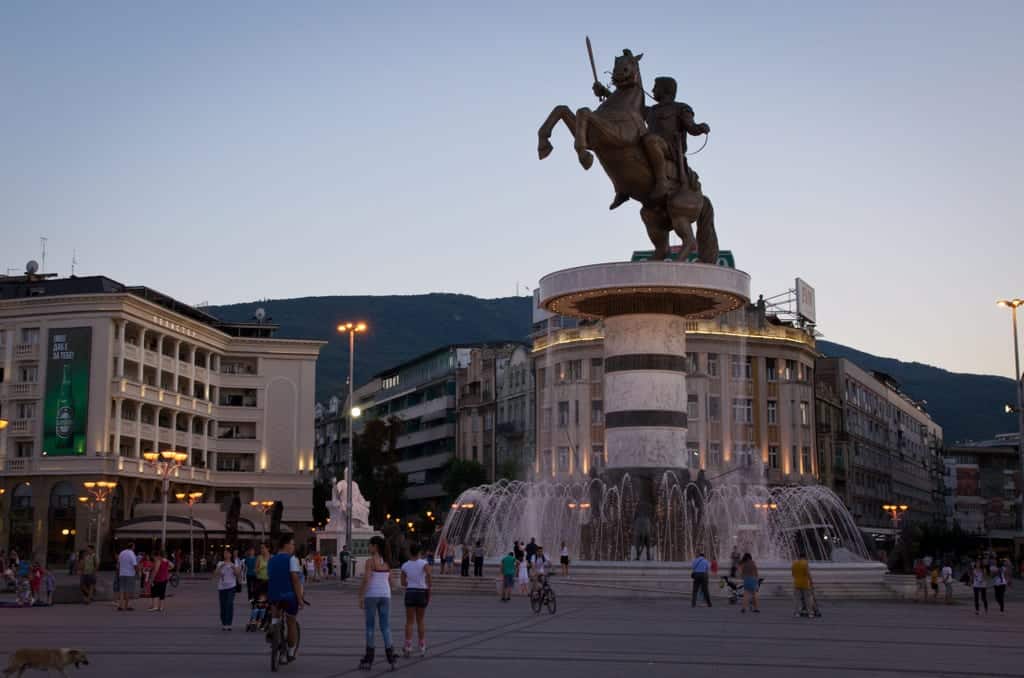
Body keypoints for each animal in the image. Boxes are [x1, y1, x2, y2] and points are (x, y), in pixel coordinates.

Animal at [540, 49, 716, 262]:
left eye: (631, 63)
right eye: (617, 61)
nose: (618, 75)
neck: (622, 107)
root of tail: (701, 195)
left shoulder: (616, 136)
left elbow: (584, 112)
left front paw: (584, 157)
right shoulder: (594, 138)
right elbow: (562, 109)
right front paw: (543, 145)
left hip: (678, 212)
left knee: (689, 241)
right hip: (652, 216)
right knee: (663, 247)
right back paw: (652, 262)